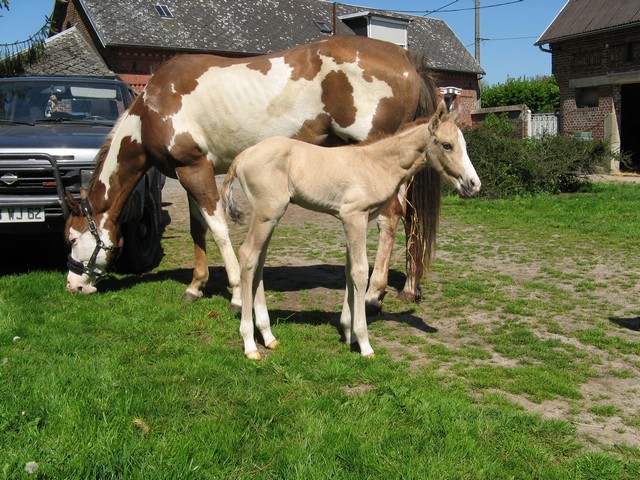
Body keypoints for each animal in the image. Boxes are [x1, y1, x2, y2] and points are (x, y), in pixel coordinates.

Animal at [64, 35, 441, 311]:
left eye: (71, 238)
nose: (73, 285)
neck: (153, 109)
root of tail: (407, 60)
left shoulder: (194, 169)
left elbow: (218, 229)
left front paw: (233, 291)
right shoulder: (189, 172)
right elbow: (198, 229)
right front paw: (196, 286)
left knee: (390, 219)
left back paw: (374, 293)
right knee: (410, 218)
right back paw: (410, 287)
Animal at [222, 101, 480, 359]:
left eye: (465, 145)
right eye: (447, 145)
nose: (474, 184)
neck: (377, 163)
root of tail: (243, 156)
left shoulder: (353, 220)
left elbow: (349, 270)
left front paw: (349, 334)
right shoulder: (354, 217)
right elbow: (360, 271)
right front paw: (364, 343)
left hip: (270, 217)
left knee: (258, 261)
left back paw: (268, 337)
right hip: (267, 214)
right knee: (248, 256)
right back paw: (250, 344)